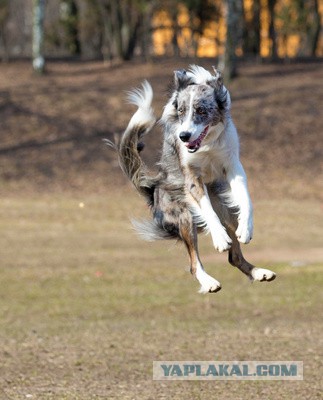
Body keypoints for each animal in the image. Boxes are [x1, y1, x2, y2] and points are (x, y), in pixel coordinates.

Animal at [109, 64, 276, 292]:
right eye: (181, 111)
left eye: (201, 111)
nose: (184, 136)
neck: (207, 144)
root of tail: (153, 190)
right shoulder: (191, 177)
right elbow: (207, 209)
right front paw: (220, 238)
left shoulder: (233, 166)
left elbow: (246, 200)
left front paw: (246, 229)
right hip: (184, 216)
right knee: (194, 263)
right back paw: (209, 281)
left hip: (226, 208)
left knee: (234, 256)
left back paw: (259, 272)